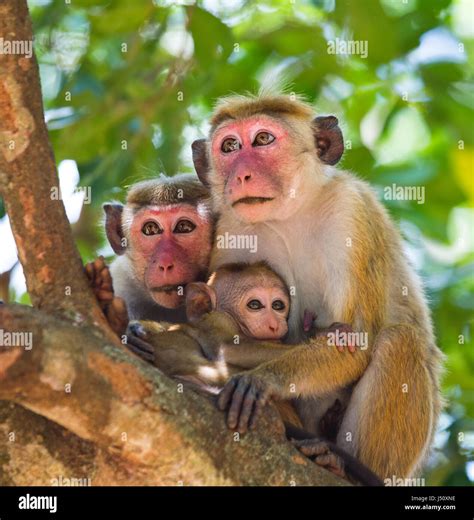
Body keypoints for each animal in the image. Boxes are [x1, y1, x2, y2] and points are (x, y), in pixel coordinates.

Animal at [190, 92, 444, 480]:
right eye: (229, 146)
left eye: (263, 139)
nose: (242, 174)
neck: (290, 215)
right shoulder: (232, 230)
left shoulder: (351, 211)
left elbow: (355, 341)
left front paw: (265, 379)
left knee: (400, 340)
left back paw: (339, 463)